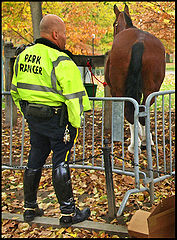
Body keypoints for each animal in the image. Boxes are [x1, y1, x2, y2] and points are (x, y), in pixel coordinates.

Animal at [104, 3, 165, 153]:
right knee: (143, 110)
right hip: (152, 89)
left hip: (120, 90)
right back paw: (145, 141)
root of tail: (140, 41)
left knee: (129, 112)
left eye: (114, 24)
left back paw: (134, 146)